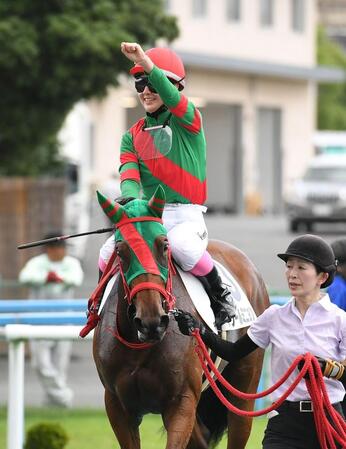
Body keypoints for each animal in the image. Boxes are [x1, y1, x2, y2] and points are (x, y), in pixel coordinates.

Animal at [92, 184, 270, 446]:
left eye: (164, 245)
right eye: (120, 251)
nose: (152, 321)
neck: (140, 347)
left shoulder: (181, 403)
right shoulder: (117, 406)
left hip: (242, 389)